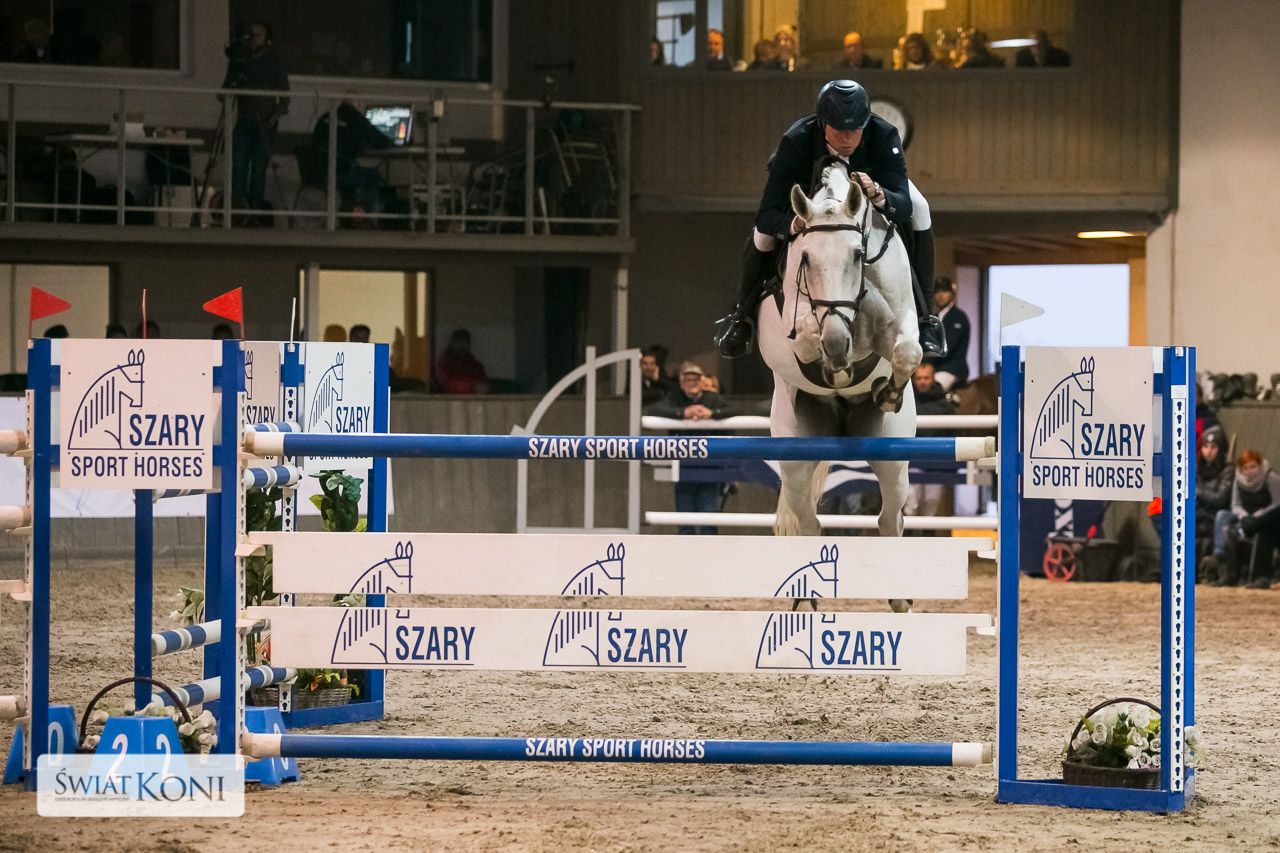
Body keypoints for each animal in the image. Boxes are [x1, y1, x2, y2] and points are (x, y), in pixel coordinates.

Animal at [756, 163, 922, 586]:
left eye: (858, 254)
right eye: (806, 258)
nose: (836, 343)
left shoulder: (899, 323)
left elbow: (907, 351)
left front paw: (888, 392)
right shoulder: (798, 331)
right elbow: (806, 337)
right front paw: (834, 361)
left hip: (892, 459)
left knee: (889, 520)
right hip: (795, 455)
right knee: (808, 522)